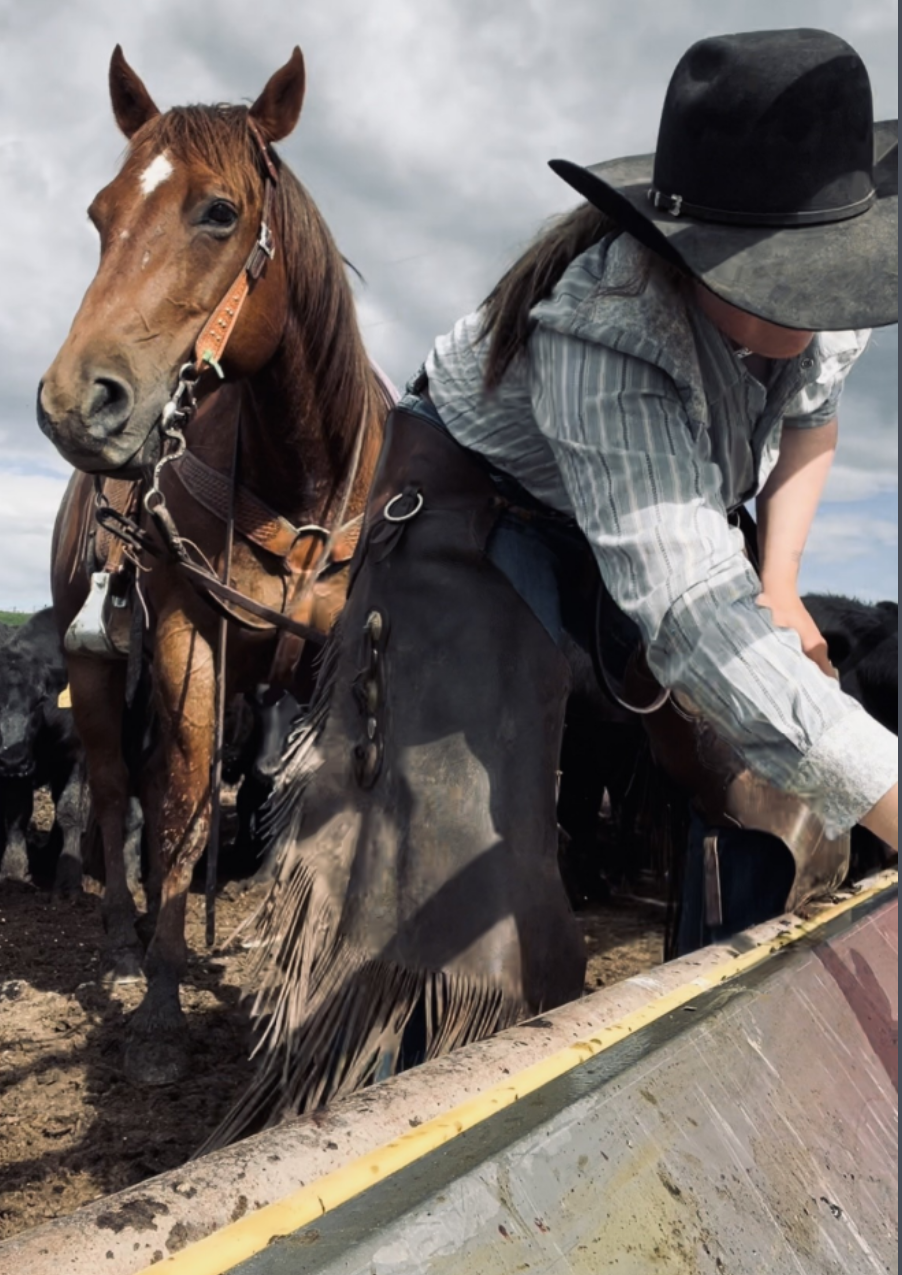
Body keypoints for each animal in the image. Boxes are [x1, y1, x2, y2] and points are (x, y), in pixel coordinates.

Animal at [0, 604, 88, 887]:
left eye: (40, 699)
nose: (13, 757)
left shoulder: (77, 755)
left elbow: (69, 810)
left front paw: (68, 874)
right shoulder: (14, 771)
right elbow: (17, 814)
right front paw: (14, 870)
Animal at [37, 52, 387, 1086]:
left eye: (219, 212)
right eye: (100, 213)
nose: (74, 401)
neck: (303, 479)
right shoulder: (191, 633)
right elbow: (187, 803)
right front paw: (160, 1006)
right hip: (96, 659)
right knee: (120, 785)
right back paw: (127, 945)